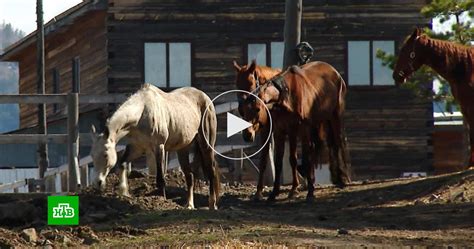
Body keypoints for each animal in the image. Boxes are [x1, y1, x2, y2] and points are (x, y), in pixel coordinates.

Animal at [90, 83, 220, 210]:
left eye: (105, 155)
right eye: (92, 156)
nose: (97, 182)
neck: (142, 113)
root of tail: (205, 97)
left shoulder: (159, 147)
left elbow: (160, 179)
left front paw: (162, 201)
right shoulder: (136, 148)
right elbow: (122, 163)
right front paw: (124, 192)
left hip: (206, 144)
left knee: (211, 171)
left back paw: (212, 204)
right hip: (182, 149)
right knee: (190, 176)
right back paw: (189, 205)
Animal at [236, 60, 352, 200]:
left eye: (250, 82)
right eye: (237, 83)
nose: (247, 134)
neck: (285, 96)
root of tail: (335, 72)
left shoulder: (299, 129)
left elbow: (299, 159)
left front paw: (307, 192)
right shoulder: (279, 130)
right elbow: (276, 161)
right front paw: (269, 193)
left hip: (335, 116)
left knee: (337, 142)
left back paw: (341, 179)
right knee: (323, 146)